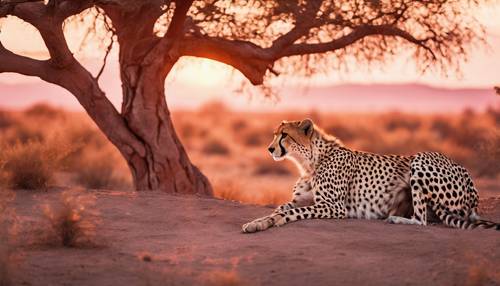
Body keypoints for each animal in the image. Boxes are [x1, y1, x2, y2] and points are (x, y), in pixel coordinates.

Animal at [241, 118, 496, 232]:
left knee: (421, 220)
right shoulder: (299, 200)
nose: (269, 149)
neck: (309, 162)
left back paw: (396, 219)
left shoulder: (334, 207)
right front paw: (259, 222)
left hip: (421, 159)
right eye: (274, 134)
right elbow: (280, 209)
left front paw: (267, 222)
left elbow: (291, 213)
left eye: (284, 135)